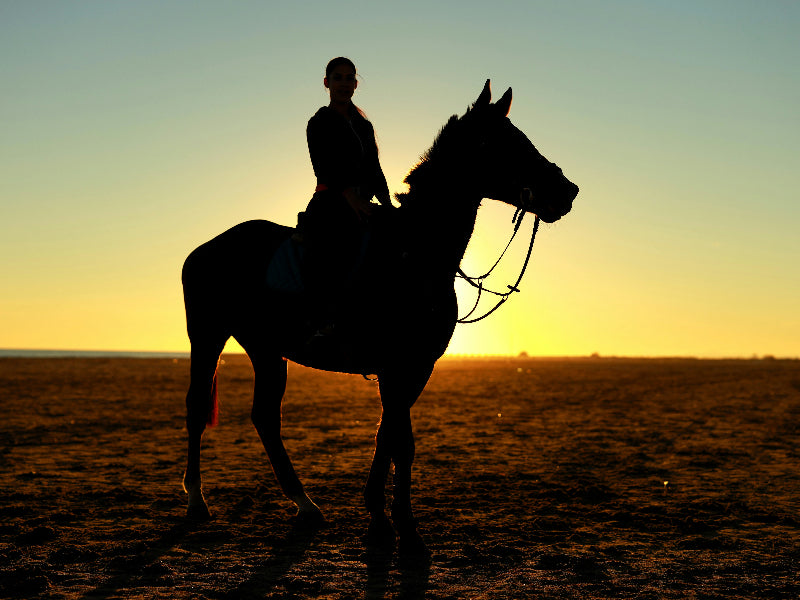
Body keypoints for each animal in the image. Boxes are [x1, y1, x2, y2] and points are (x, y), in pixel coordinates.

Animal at [181, 81, 579, 551]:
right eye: (508, 142)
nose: (568, 190)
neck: (415, 254)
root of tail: (205, 249)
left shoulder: (416, 366)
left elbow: (392, 436)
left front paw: (385, 516)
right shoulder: (396, 365)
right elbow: (398, 438)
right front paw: (398, 522)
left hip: (266, 349)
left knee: (265, 417)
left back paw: (305, 505)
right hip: (207, 335)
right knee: (196, 408)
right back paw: (196, 501)